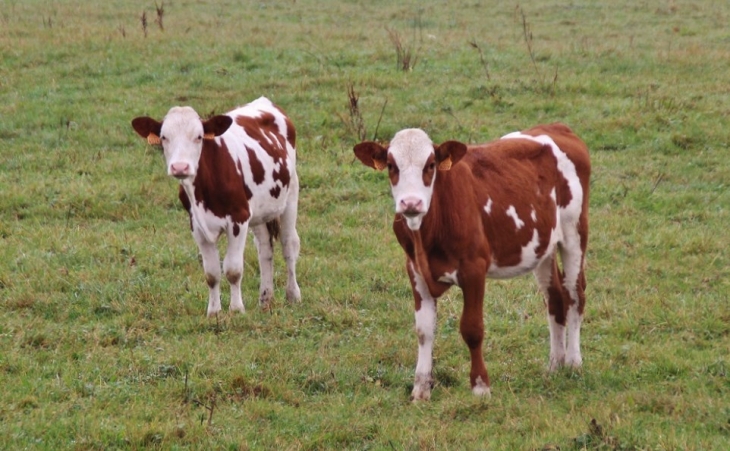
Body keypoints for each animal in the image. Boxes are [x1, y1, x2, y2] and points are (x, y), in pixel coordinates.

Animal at [132, 97, 300, 316]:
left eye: (199, 137)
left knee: (289, 245)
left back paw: (293, 295)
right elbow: (211, 273)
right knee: (264, 249)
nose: (180, 167)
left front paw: (236, 309)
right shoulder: (197, 225)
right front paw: (213, 312)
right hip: (260, 211)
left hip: (291, 194)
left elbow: (233, 270)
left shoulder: (238, 218)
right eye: (163, 137)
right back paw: (265, 299)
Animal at [356, 122, 588, 400]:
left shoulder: (474, 269)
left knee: (575, 294)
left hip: (575, 232)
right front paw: (420, 390)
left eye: (430, 165)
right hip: (544, 245)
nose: (411, 202)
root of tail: (556, 127)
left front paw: (480, 387)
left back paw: (574, 362)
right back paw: (555, 364)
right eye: (391, 166)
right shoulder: (415, 269)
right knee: (555, 298)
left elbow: (472, 328)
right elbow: (424, 331)